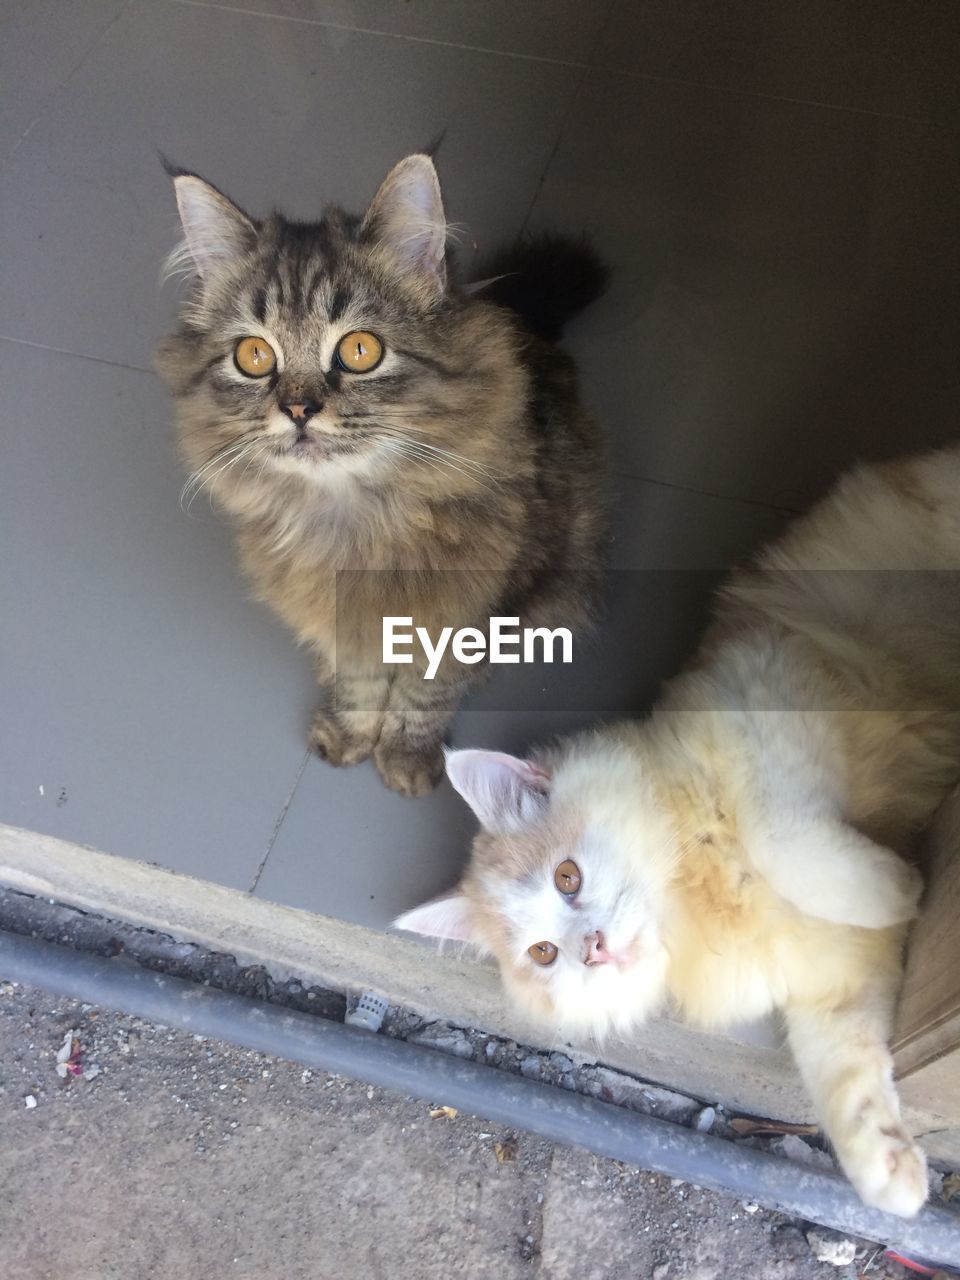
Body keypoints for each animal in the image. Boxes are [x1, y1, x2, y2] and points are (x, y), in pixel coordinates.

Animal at [158, 154, 609, 793]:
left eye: (360, 351)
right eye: (255, 357)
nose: (298, 409)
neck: (353, 520)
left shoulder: (468, 616)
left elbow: (426, 695)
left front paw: (408, 758)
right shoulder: (347, 622)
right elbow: (361, 684)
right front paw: (350, 736)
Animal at [396, 445, 960, 1213]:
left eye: (567, 877)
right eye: (545, 955)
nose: (594, 949)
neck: (699, 888)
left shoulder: (772, 700)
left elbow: (790, 844)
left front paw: (900, 885)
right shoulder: (835, 983)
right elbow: (846, 1077)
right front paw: (890, 1174)